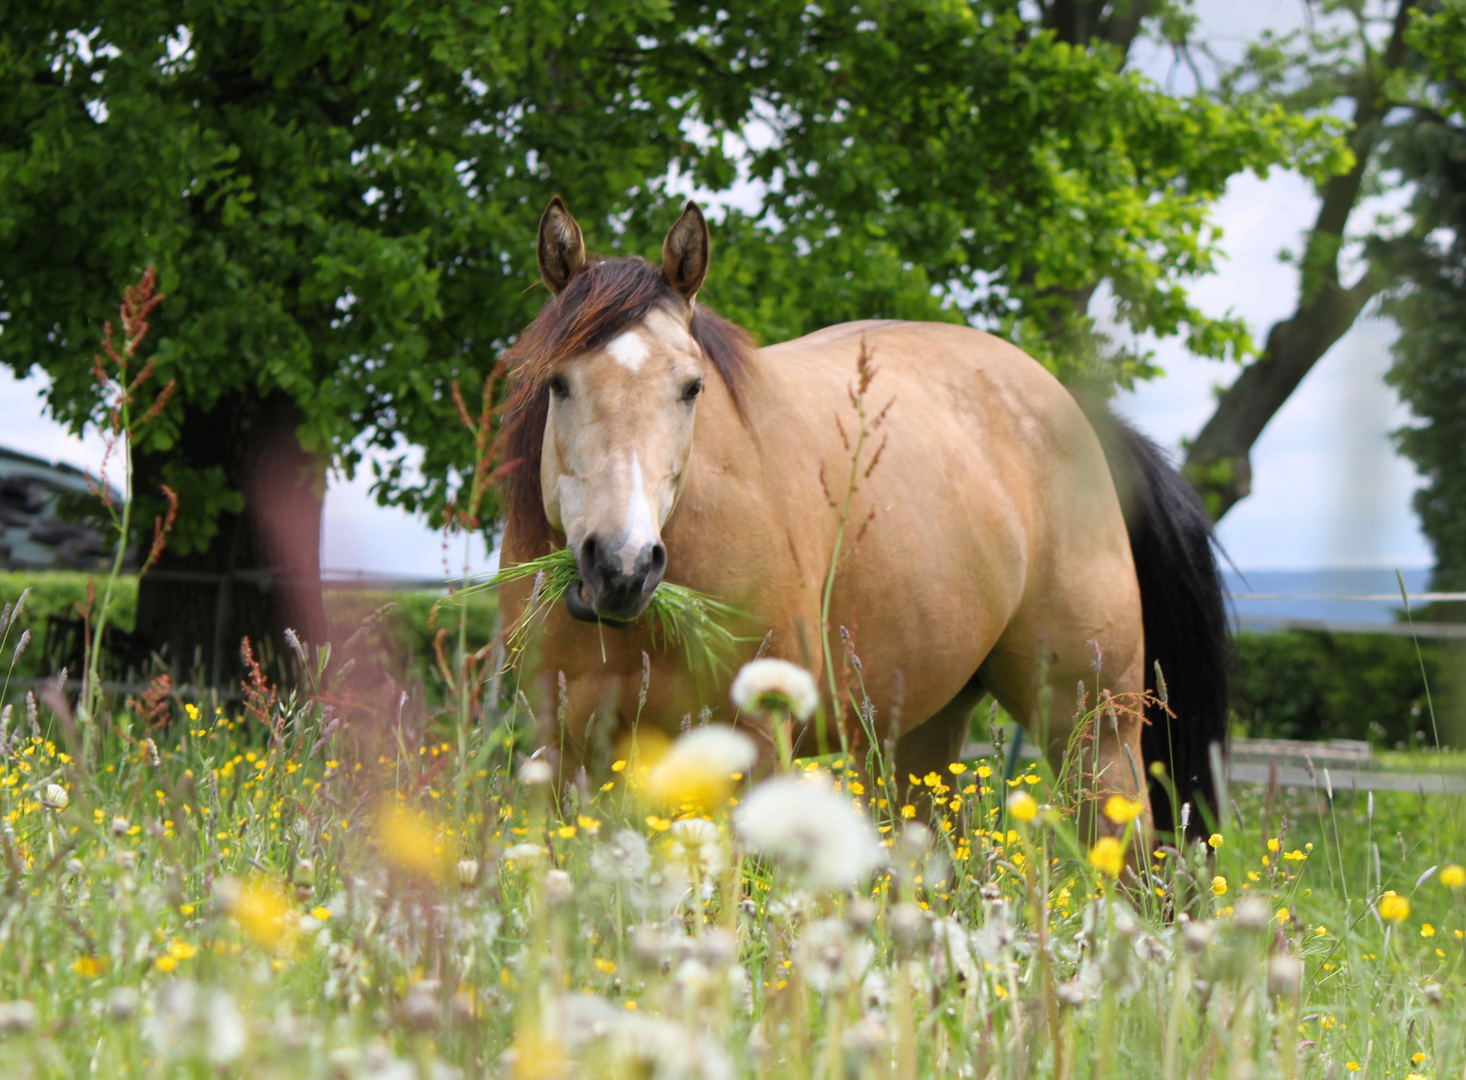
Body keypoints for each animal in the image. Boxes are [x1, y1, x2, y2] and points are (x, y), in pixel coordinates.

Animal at [498, 196, 1231, 832]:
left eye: (691, 387)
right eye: (558, 382)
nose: (621, 565)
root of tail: (1076, 415)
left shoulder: (754, 746)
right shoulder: (563, 753)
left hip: (1096, 734)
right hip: (923, 737)